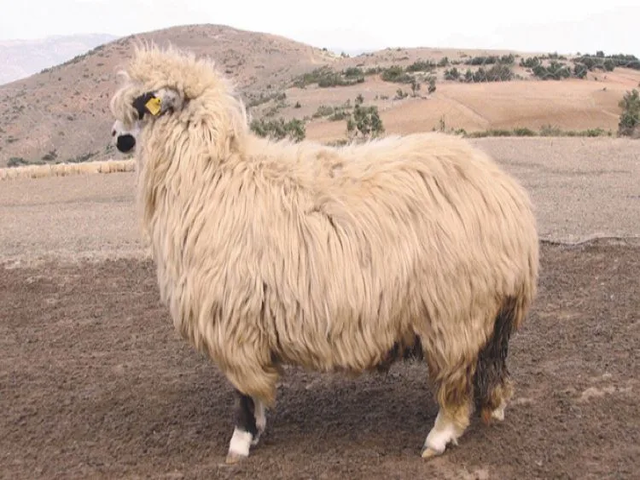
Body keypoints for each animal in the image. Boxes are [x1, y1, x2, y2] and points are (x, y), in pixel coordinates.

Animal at [109, 44, 539, 464]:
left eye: (143, 102)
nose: (115, 136)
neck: (209, 174)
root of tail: (509, 199)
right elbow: (253, 389)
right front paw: (257, 430)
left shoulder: (232, 322)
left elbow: (243, 391)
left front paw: (240, 442)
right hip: (487, 313)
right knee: (492, 366)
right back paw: (494, 408)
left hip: (455, 313)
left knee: (456, 382)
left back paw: (439, 437)